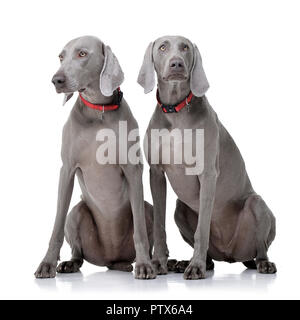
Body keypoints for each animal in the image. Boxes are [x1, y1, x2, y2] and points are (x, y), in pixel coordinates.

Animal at [34, 35, 156, 280]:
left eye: (82, 54)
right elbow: (56, 223)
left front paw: (144, 265)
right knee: (78, 251)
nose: (56, 80)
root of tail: (110, 258)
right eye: (61, 56)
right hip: (77, 212)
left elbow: (139, 229)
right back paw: (70, 263)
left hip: (149, 210)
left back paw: (137, 264)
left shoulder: (133, 169)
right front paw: (47, 263)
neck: (98, 109)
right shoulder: (67, 169)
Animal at [138, 35, 276, 280]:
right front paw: (158, 263)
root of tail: (231, 255)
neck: (175, 111)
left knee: (260, 247)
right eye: (162, 47)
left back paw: (263, 264)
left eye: (185, 47)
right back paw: (187, 262)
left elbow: (202, 228)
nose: (176, 64)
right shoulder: (156, 173)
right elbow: (159, 225)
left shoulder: (208, 173)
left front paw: (196, 267)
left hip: (257, 205)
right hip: (180, 209)